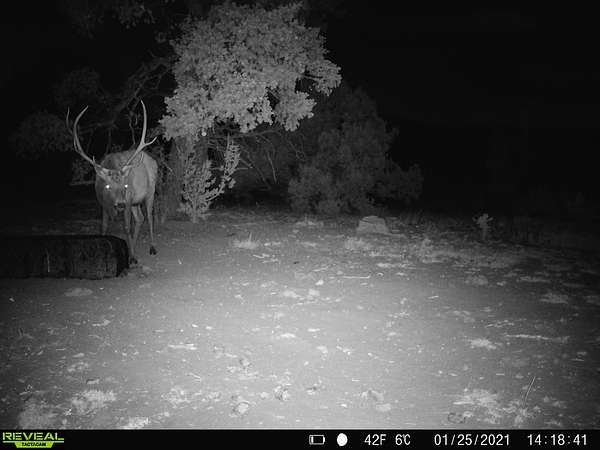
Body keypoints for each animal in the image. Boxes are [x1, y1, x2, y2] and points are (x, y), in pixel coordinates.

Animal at [70, 100, 158, 265]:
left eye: (125, 185)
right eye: (107, 186)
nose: (120, 204)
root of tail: (153, 160)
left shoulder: (128, 198)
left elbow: (126, 227)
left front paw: (132, 257)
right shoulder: (102, 202)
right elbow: (104, 227)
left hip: (150, 191)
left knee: (149, 217)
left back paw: (151, 248)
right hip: (135, 201)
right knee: (140, 218)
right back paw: (134, 247)